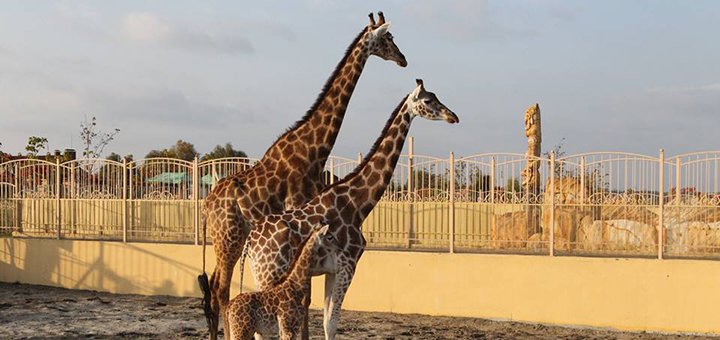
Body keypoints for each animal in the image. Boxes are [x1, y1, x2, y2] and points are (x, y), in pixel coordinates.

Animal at [200, 11, 408, 340]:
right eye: (388, 39)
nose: (403, 60)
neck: (315, 147)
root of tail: (207, 205)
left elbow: (307, 292)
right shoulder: (301, 208)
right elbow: (305, 292)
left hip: (227, 239)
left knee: (212, 285)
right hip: (229, 237)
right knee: (220, 288)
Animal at [242, 79, 456, 340]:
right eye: (428, 100)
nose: (453, 116)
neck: (357, 203)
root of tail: (251, 242)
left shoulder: (331, 271)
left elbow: (327, 321)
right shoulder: (348, 266)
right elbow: (332, 322)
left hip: (259, 273)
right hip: (270, 271)